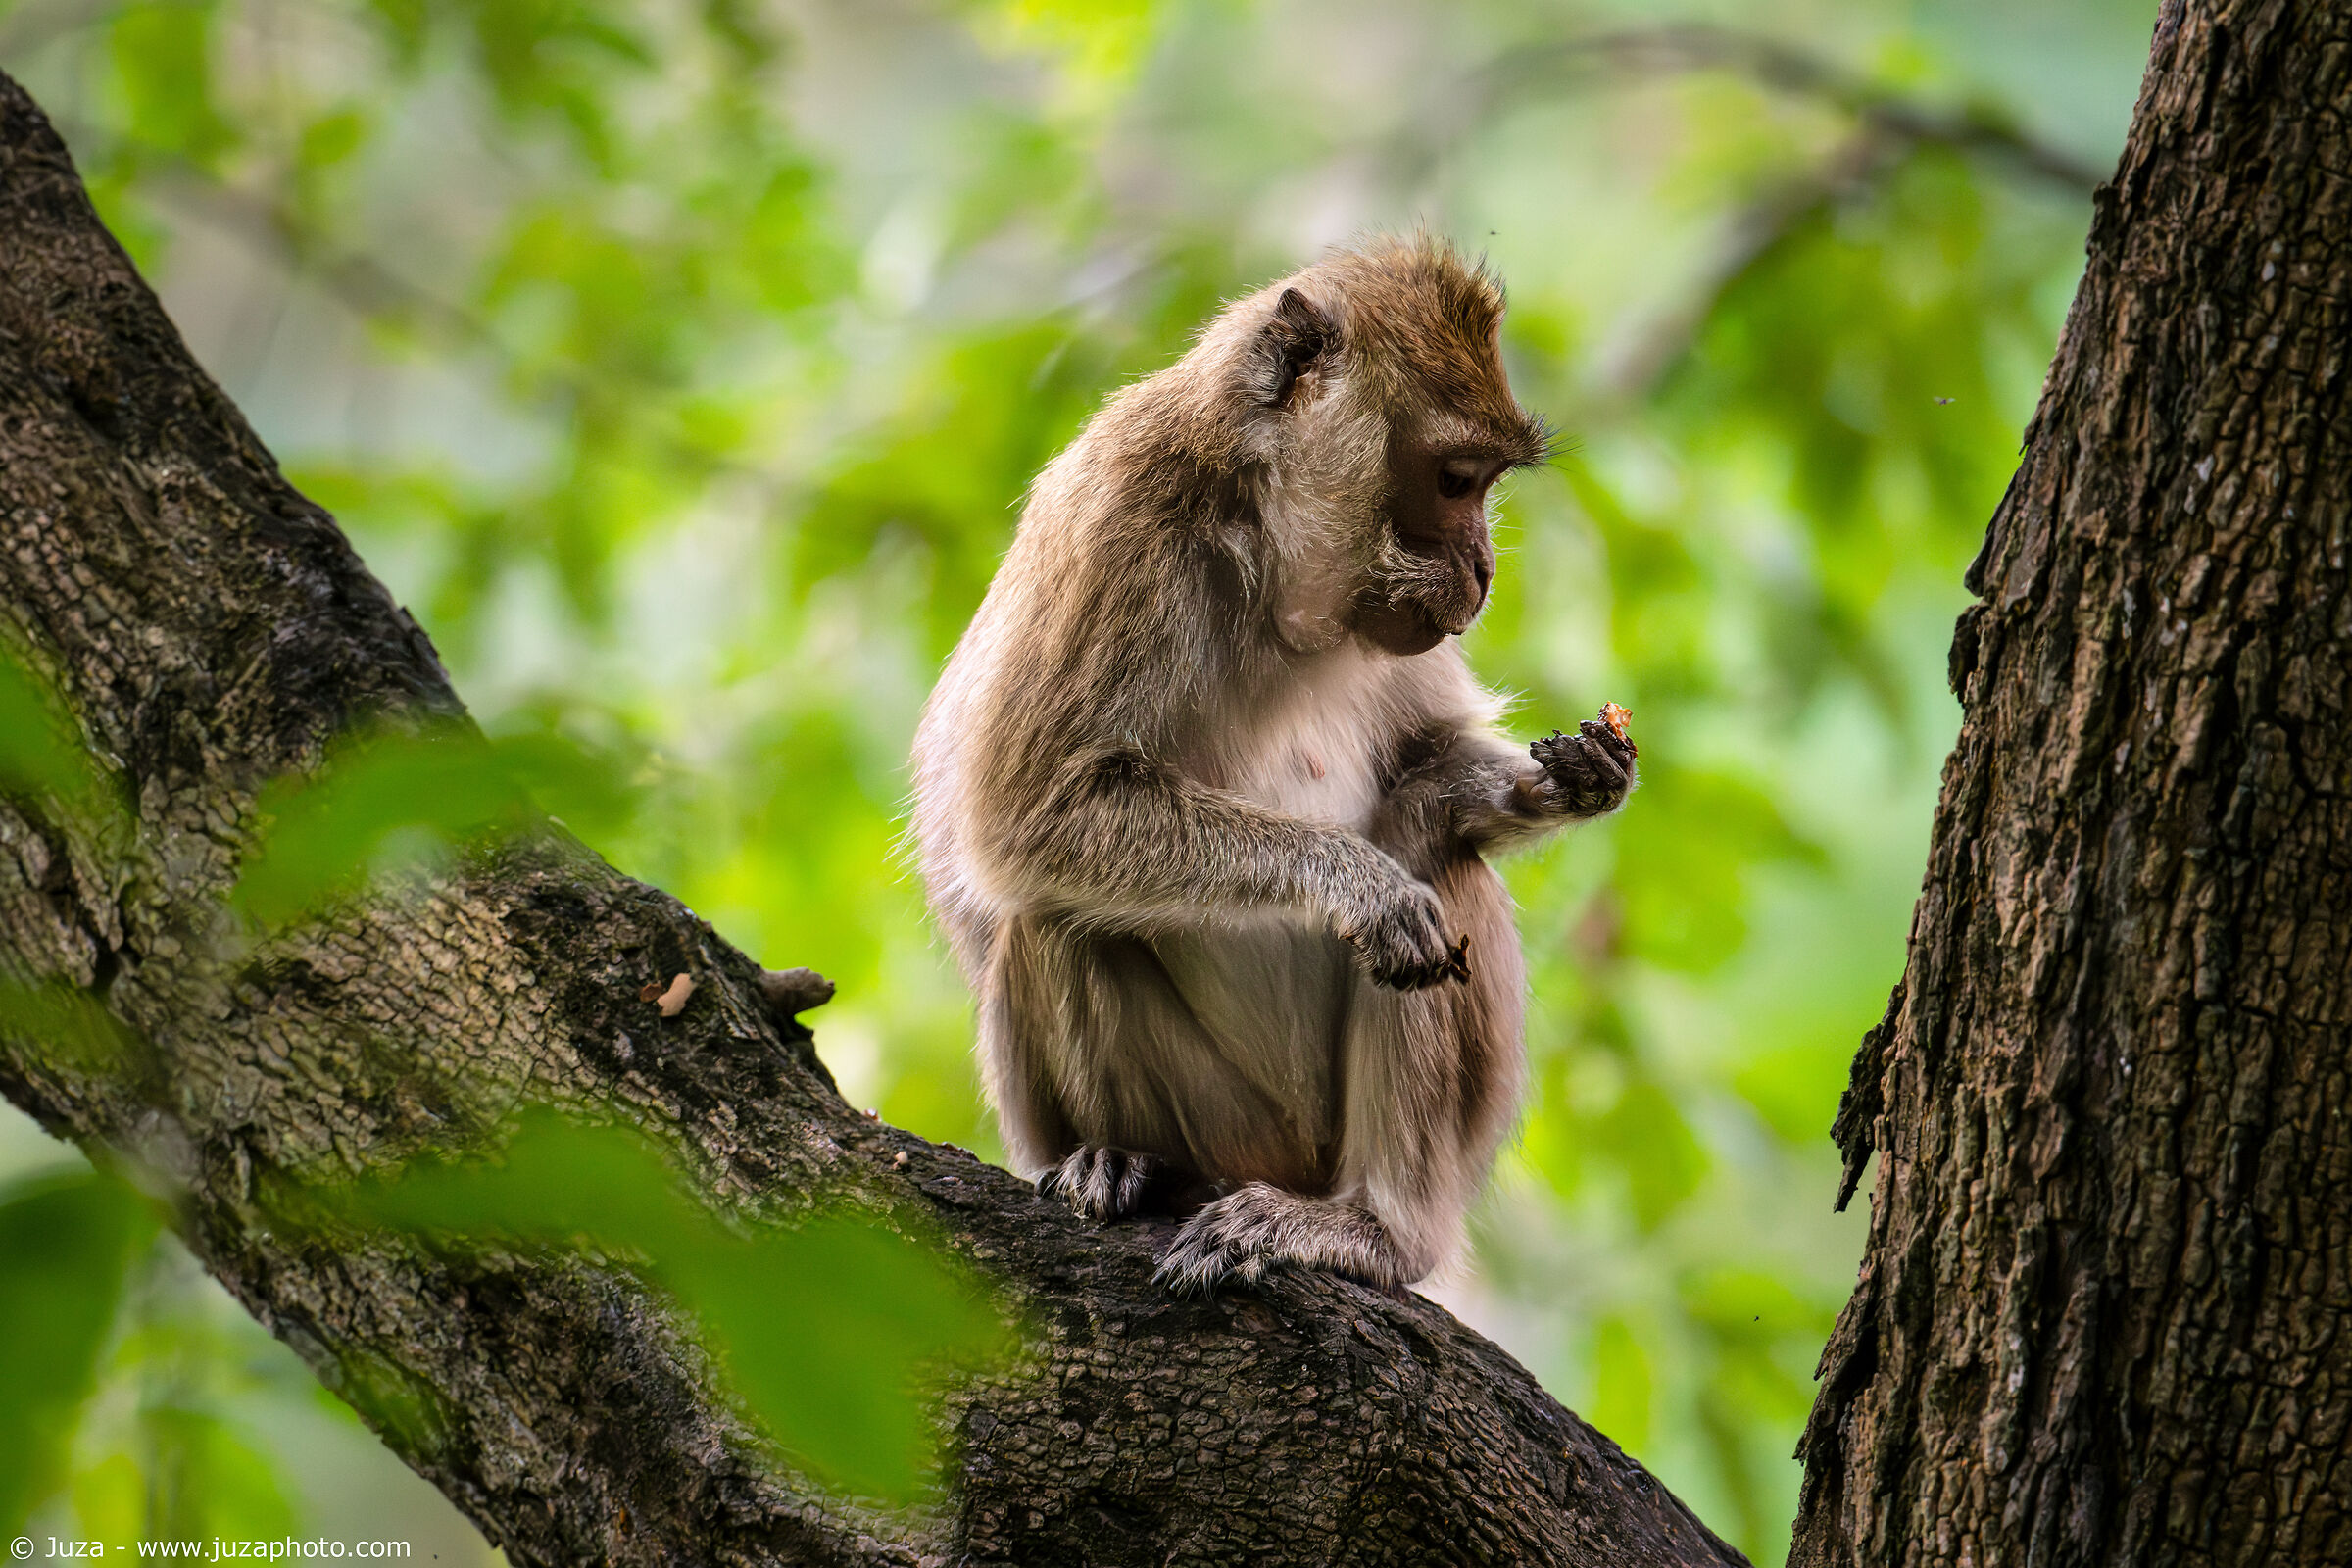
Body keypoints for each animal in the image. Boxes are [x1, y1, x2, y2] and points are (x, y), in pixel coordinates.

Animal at [909, 234, 1637, 1294]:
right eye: (1456, 479)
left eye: (1485, 483)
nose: (1485, 568)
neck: (1268, 556)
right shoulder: (1120, 515)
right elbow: (1027, 811)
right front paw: (1360, 886)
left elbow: (1429, 758)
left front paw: (1563, 780)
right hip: (1238, 1124)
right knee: (1052, 918)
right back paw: (1125, 1162)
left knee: (1431, 834)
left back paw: (1376, 1227)